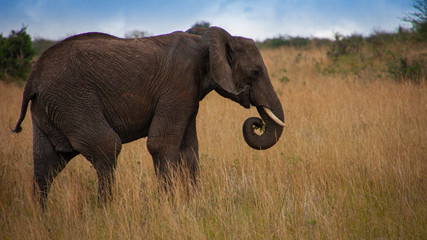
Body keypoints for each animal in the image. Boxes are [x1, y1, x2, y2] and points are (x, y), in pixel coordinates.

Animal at [10, 26, 284, 208]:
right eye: (256, 71)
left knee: (46, 163)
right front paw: (170, 207)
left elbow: (189, 149)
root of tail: (32, 78)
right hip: (72, 99)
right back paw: (106, 212)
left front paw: (193, 204)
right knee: (106, 146)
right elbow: (161, 145)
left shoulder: (189, 93)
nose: (257, 122)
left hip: (50, 107)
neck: (204, 40)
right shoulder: (179, 84)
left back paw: (42, 218)